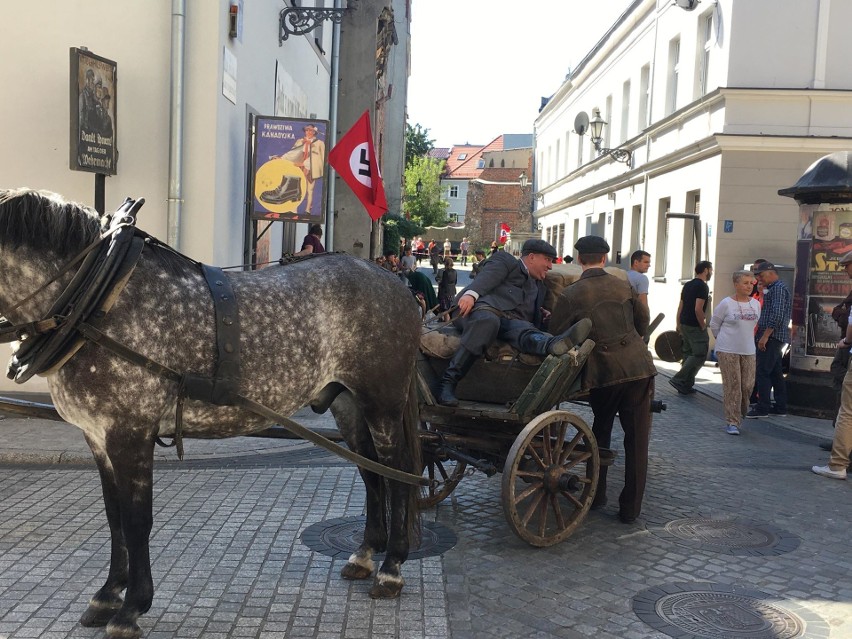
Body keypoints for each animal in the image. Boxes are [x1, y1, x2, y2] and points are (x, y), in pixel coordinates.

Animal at [0, 189, 422, 639]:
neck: (96, 302)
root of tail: (393, 281)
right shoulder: (97, 436)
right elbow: (114, 518)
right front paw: (108, 594)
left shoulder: (130, 434)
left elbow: (136, 520)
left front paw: (132, 607)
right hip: (349, 405)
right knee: (372, 473)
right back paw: (364, 554)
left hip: (382, 404)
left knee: (399, 474)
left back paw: (392, 568)